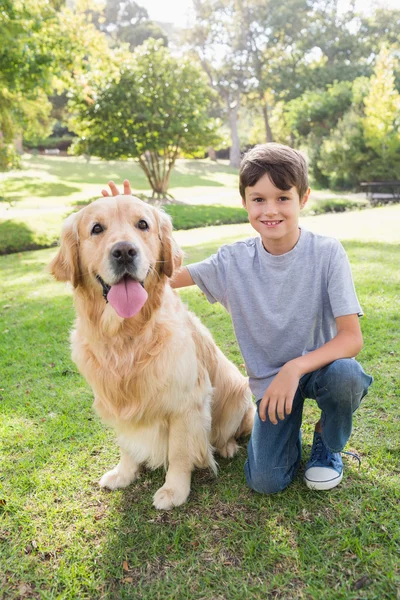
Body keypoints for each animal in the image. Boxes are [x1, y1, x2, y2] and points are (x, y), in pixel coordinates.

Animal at [48, 195, 255, 508]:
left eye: (143, 224)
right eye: (96, 228)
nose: (124, 251)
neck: (127, 336)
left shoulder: (186, 403)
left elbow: (179, 452)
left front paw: (174, 490)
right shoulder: (119, 403)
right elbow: (127, 444)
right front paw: (124, 473)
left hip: (238, 395)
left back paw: (227, 446)